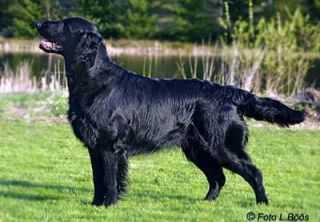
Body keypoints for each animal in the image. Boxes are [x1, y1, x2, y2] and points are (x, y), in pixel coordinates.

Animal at [34, 17, 304, 206]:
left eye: (65, 24)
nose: (37, 23)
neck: (93, 78)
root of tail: (230, 92)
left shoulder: (109, 146)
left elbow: (109, 181)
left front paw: (107, 205)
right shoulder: (95, 146)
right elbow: (98, 179)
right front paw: (95, 204)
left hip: (222, 146)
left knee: (254, 173)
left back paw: (262, 204)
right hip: (197, 148)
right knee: (218, 177)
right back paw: (206, 203)